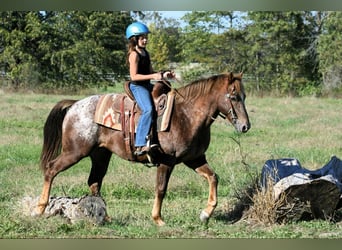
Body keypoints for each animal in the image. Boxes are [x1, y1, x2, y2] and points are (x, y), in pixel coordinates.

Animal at [33, 71, 250, 226]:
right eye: (234, 97)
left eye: (244, 96)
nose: (245, 126)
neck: (187, 115)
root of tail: (74, 105)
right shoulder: (166, 161)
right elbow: (161, 189)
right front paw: (158, 219)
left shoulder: (194, 159)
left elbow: (213, 178)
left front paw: (205, 214)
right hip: (75, 152)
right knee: (51, 169)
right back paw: (39, 209)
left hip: (100, 155)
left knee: (94, 182)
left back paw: (105, 217)